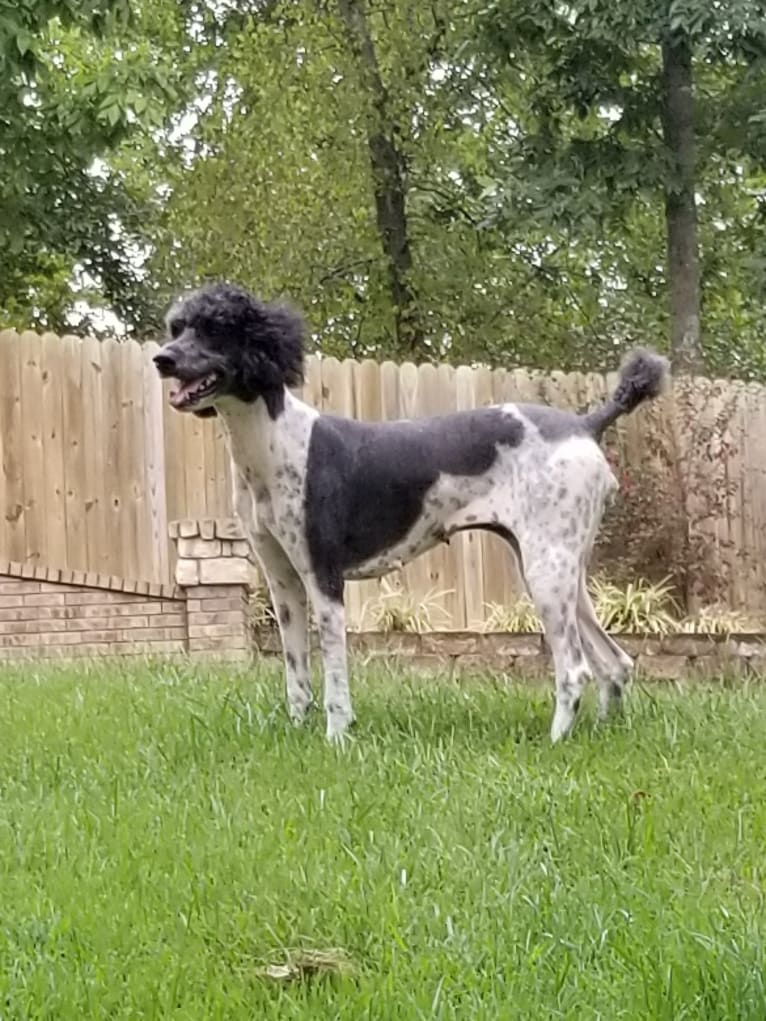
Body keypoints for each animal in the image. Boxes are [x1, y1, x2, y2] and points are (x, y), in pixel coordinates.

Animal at [153, 283, 669, 747]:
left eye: (217, 327)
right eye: (178, 326)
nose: (162, 358)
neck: (275, 441)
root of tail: (584, 424)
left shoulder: (325, 581)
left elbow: (334, 679)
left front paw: (336, 738)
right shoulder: (283, 582)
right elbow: (296, 673)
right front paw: (296, 732)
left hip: (547, 572)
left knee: (576, 669)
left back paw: (556, 740)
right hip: (562, 573)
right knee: (616, 663)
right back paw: (600, 732)